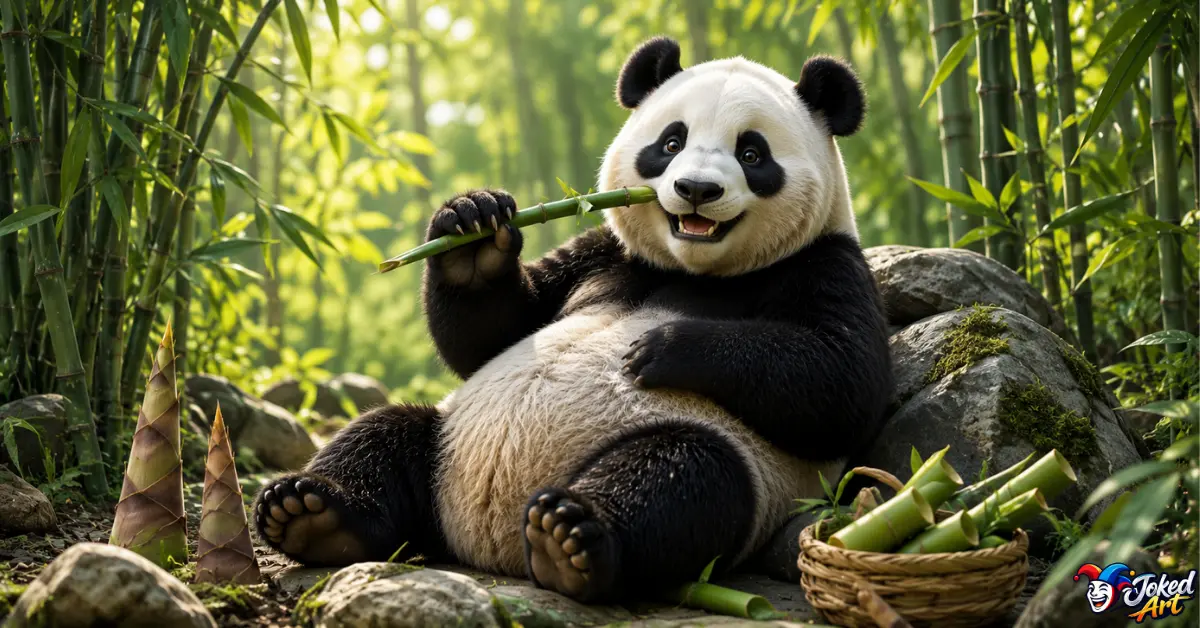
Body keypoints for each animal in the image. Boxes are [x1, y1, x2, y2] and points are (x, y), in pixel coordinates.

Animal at [254, 36, 893, 603]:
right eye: (671, 141)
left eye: (752, 154)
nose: (695, 189)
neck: (694, 269)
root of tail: (486, 541)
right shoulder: (603, 250)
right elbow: (492, 335)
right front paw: (471, 224)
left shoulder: (825, 264)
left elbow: (840, 385)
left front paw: (662, 346)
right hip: (449, 438)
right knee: (383, 433)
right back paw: (312, 512)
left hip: (734, 468)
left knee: (681, 477)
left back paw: (569, 539)